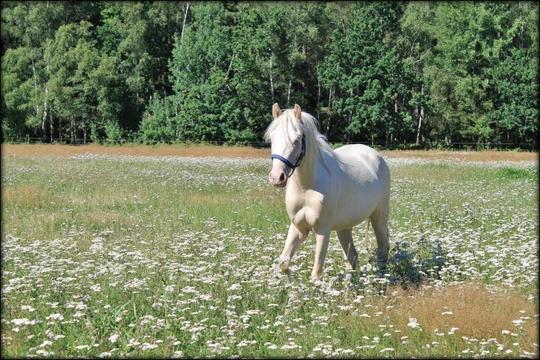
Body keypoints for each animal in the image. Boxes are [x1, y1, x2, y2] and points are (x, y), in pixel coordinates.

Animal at [264, 102, 388, 280]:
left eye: (296, 139)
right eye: (271, 139)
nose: (277, 177)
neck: (307, 188)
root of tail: (375, 155)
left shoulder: (323, 230)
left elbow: (316, 272)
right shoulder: (298, 228)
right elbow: (284, 263)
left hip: (379, 218)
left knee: (383, 248)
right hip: (344, 227)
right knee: (352, 257)